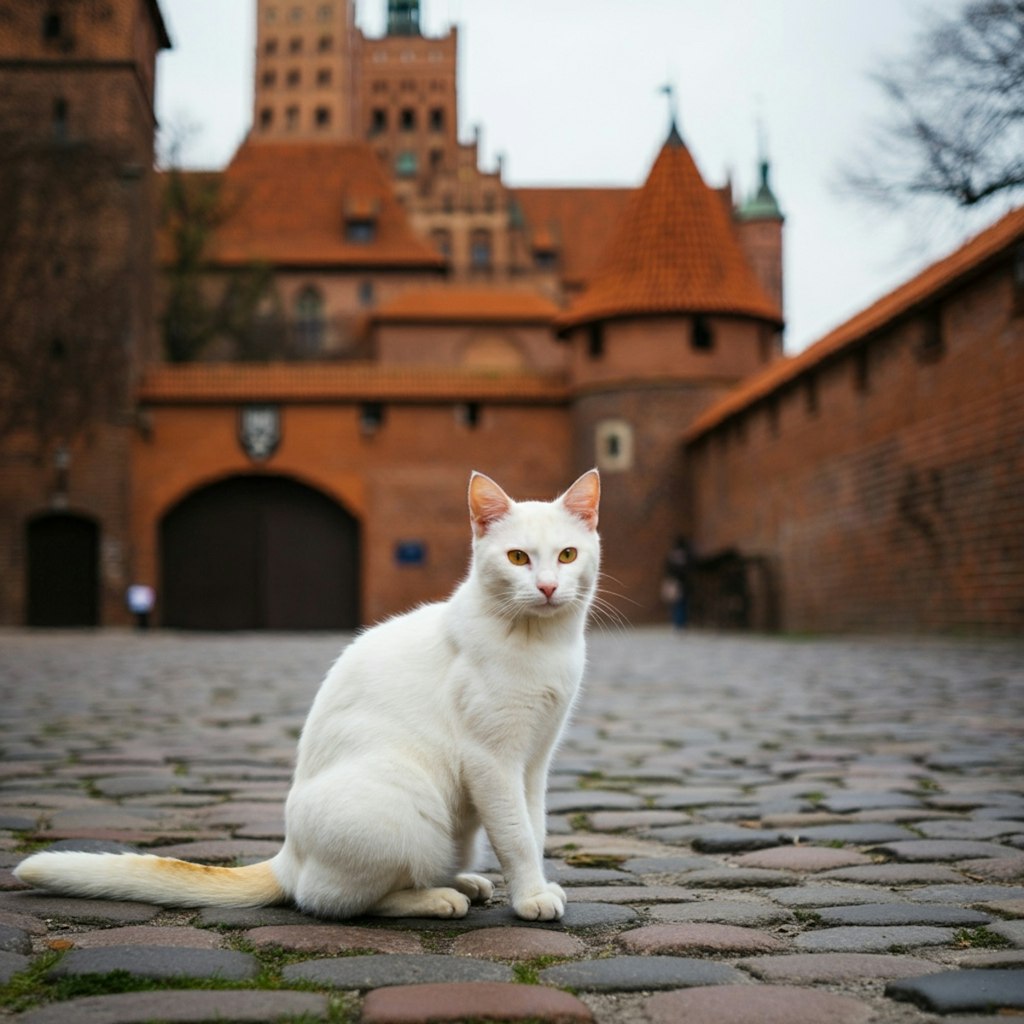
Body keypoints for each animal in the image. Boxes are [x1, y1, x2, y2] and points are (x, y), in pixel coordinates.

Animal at [16, 468, 598, 925]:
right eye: (518, 557)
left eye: (567, 555)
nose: (548, 587)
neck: (541, 642)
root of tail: (288, 856)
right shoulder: (491, 761)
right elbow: (515, 834)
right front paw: (530, 897)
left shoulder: (535, 761)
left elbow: (534, 826)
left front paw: (535, 884)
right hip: (404, 803)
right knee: (329, 899)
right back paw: (436, 898)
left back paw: (463, 882)